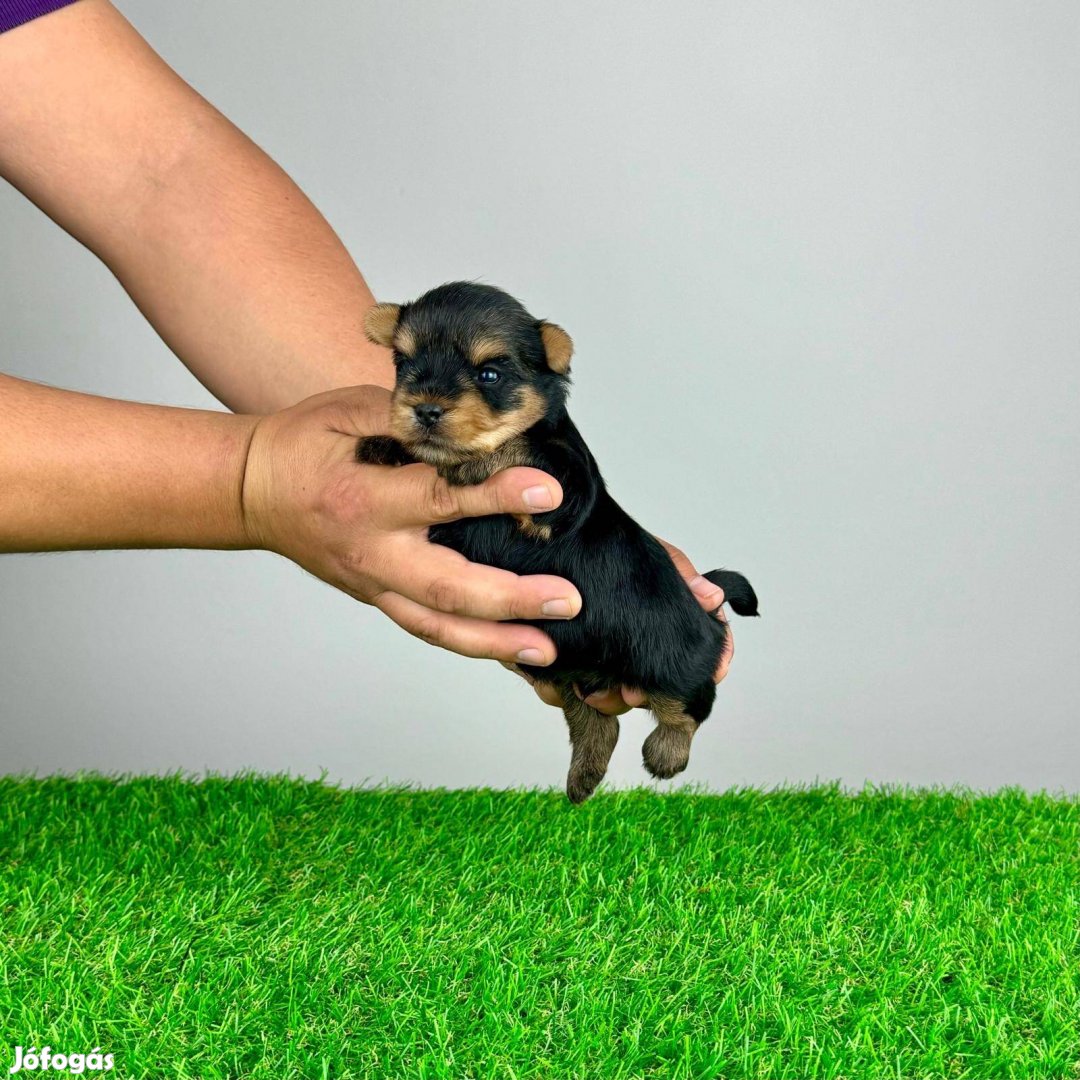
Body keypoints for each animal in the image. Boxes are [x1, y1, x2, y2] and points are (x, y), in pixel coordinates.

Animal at [356, 278, 760, 803]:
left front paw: (470, 463)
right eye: (403, 365)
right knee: (596, 721)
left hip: (671, 655)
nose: (424, 409)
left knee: (691, 702)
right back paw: (584, 776)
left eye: (489, 373)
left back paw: (666, 753)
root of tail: (704, 608)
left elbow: (525, 448)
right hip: (571, 669)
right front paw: (387, 446)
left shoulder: (563, 483)